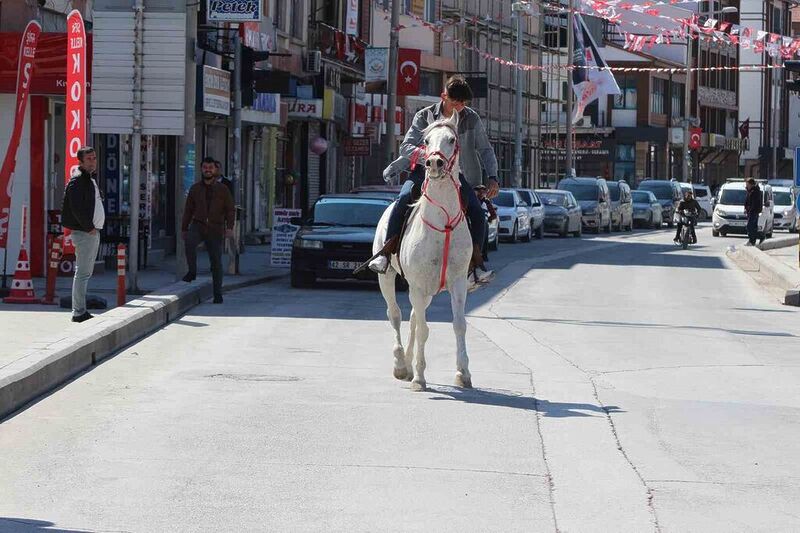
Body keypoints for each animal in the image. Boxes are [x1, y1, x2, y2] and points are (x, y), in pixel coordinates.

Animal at [376, 111, 476, 390]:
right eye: (426, 140)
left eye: (452, 139)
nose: (433, 163)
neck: (442, 225)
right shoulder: (418, 285)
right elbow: (423, 329)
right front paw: (419, 378)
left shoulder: (457, 283)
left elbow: (459, 325)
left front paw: (463, 373)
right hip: (388, 279)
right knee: (396, 315)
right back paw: (401, 365)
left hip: (427, 291)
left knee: (411, 318)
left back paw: (408, 365)